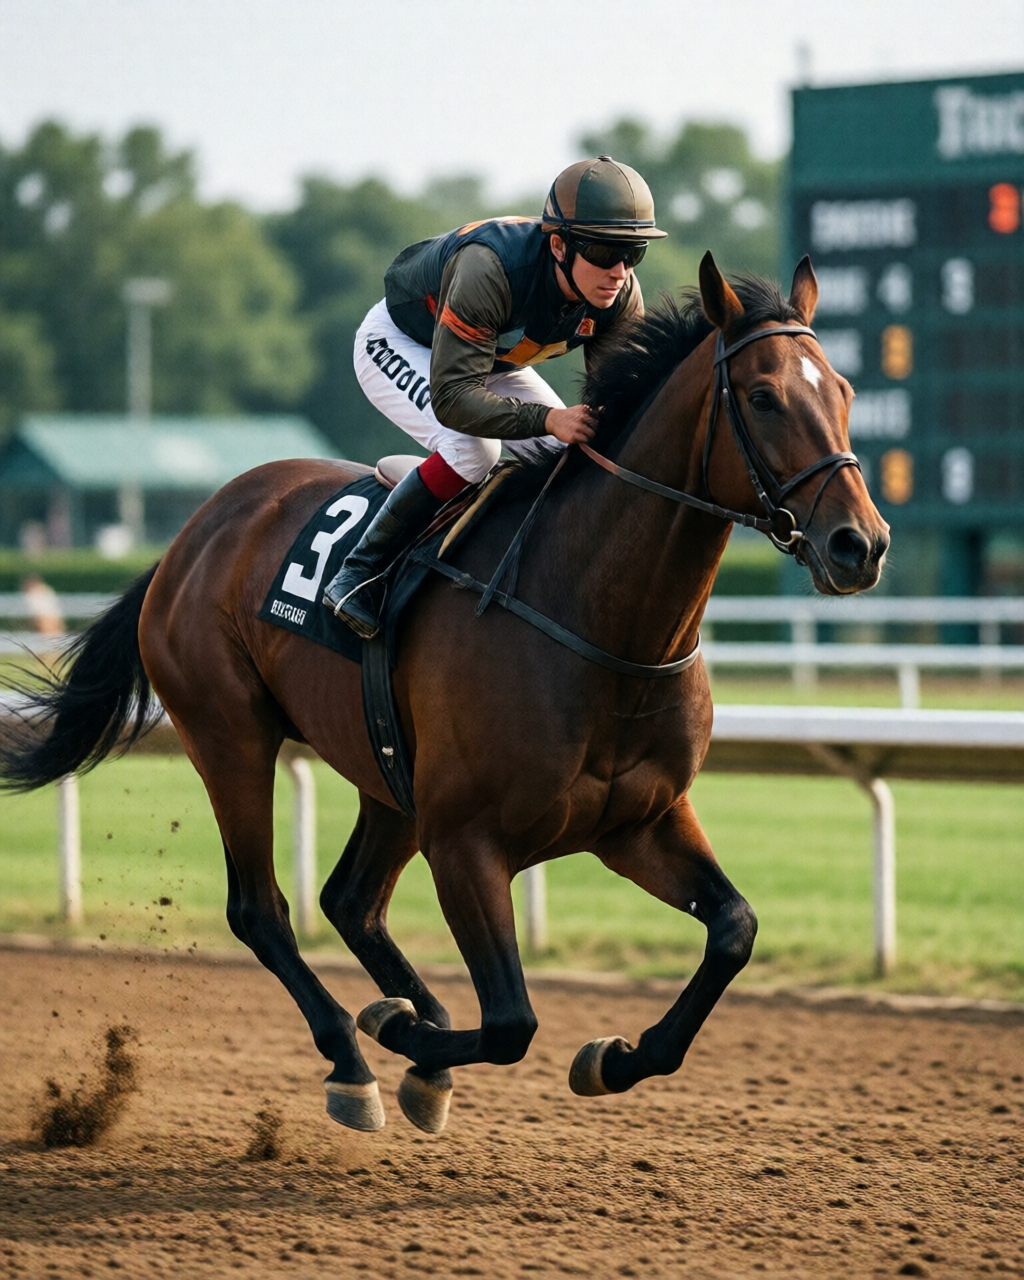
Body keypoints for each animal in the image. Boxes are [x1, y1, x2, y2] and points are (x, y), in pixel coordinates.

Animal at [0, 253, 888, 1136]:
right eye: (765, 396)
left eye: (844, 391)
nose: (862, 544)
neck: (598, 621)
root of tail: (191, 534)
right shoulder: (465, 841)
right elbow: (511, 1020)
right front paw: (401, 1034)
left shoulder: (639, 823)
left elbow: (733, 930)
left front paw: (607, 1057)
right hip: (229, 736)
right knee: (261, 909)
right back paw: (355, 1056)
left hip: (387, 771)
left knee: (351, 900)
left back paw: (412, 1039)